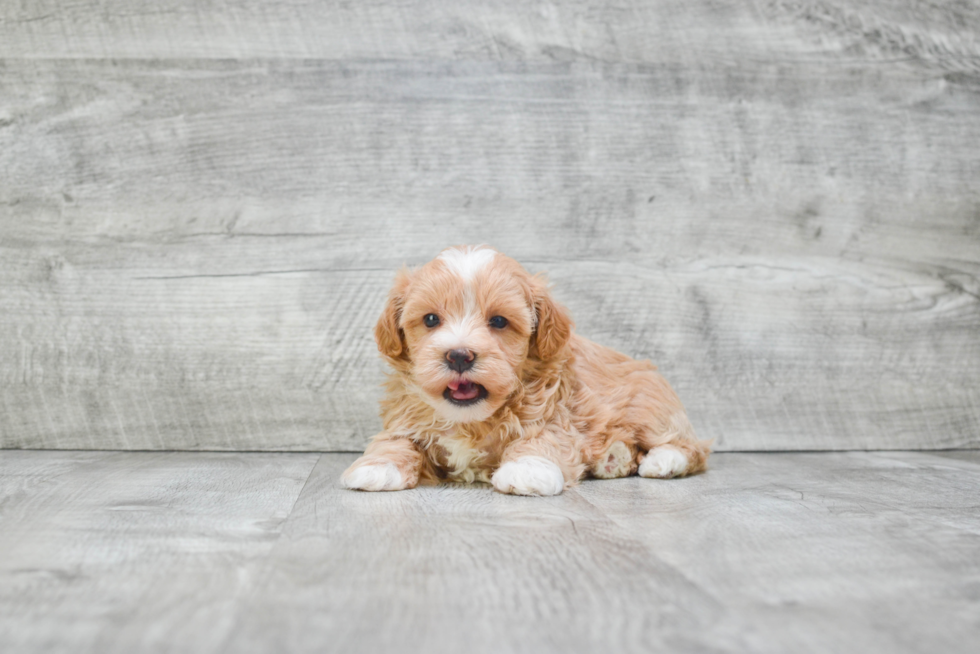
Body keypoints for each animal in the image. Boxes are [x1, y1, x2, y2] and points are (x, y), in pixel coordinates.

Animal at [340, 246, 708, 498]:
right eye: (431, 319)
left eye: (499, 321)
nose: (459, 356)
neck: (470, 420)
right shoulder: (405, 416)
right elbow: (395, 440)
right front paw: (377, 466)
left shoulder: (556, 414)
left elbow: (542, 437)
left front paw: (527, 470)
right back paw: (614, 457)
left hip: (648, 405)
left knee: (692, 447)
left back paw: (662, 461)